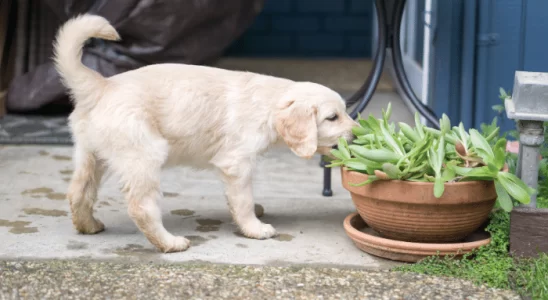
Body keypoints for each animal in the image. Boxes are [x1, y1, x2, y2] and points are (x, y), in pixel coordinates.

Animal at [55, 14, 356, 253]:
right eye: (332, 117)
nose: (356, 136)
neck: (269, 103)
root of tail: (101, 86)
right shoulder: (237, 162)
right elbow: (243, 200)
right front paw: (255, 228)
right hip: (144, 154)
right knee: (142, 207)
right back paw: (170, 243)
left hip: (91, 154)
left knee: (79, 192)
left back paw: (89, 225)